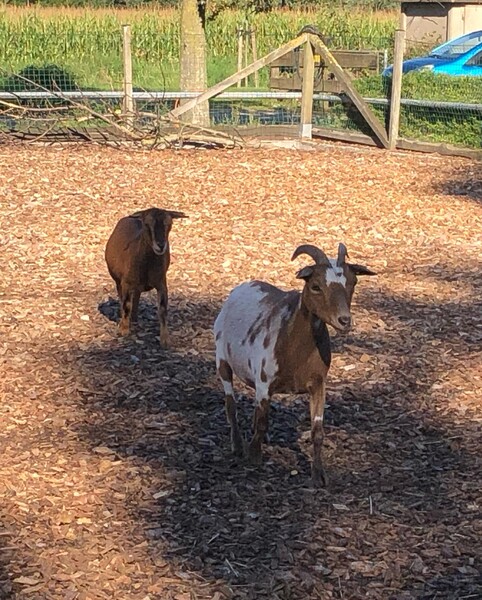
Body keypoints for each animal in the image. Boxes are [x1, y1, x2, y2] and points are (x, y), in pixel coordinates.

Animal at [105, 207, 187, 347]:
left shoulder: (161, 283)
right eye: (147, 224)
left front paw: (165, 339)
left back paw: (134, 319)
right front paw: (124, 330)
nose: (161, 245)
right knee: (123, 301)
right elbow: (126, 305)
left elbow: (162, 309)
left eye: (169, 224)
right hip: (119, 281)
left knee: (136, 298)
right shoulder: (126, 283)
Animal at [214, 243, 376, 486]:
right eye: (315, 286)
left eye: (353, 283)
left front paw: (318, 475)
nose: (344, 321)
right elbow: (262, 420)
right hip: (222, 359)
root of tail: (241, 287)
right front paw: (254, 456)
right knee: (230, 403)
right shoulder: (264, 382)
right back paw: (238, 445)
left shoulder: (318, 384)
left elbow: (317, 430)